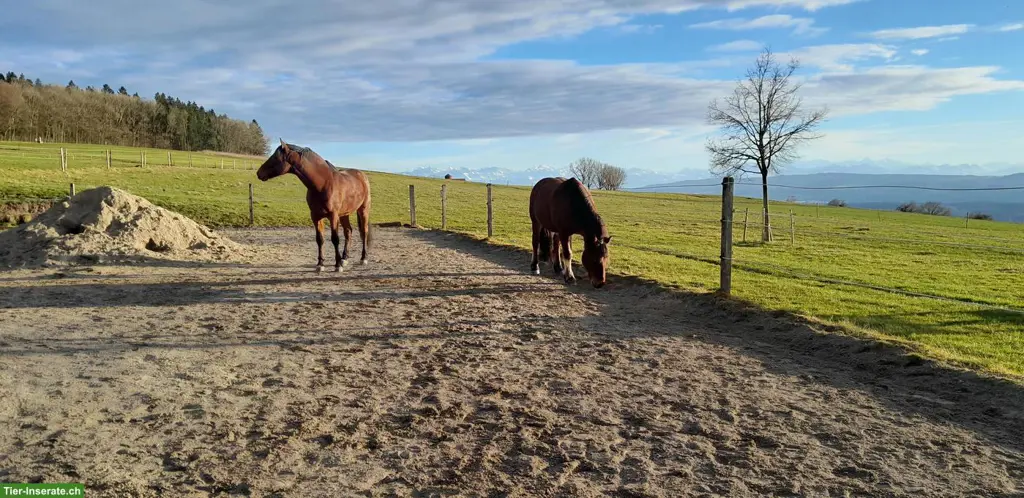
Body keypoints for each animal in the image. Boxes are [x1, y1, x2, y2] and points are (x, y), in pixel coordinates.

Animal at [256, 139, 372, 273]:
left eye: (275, 157)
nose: (259, 173)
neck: (323, 184)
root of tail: (361, 175)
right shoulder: (315, 216)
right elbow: (319, 239)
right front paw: (320, 264)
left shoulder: (333, 216)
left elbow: (335, 239)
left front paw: (337, 265)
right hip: (344, 214)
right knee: (348, 231)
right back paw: (345, 258)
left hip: (363, 210)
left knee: (364, 232)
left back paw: (363, 258)